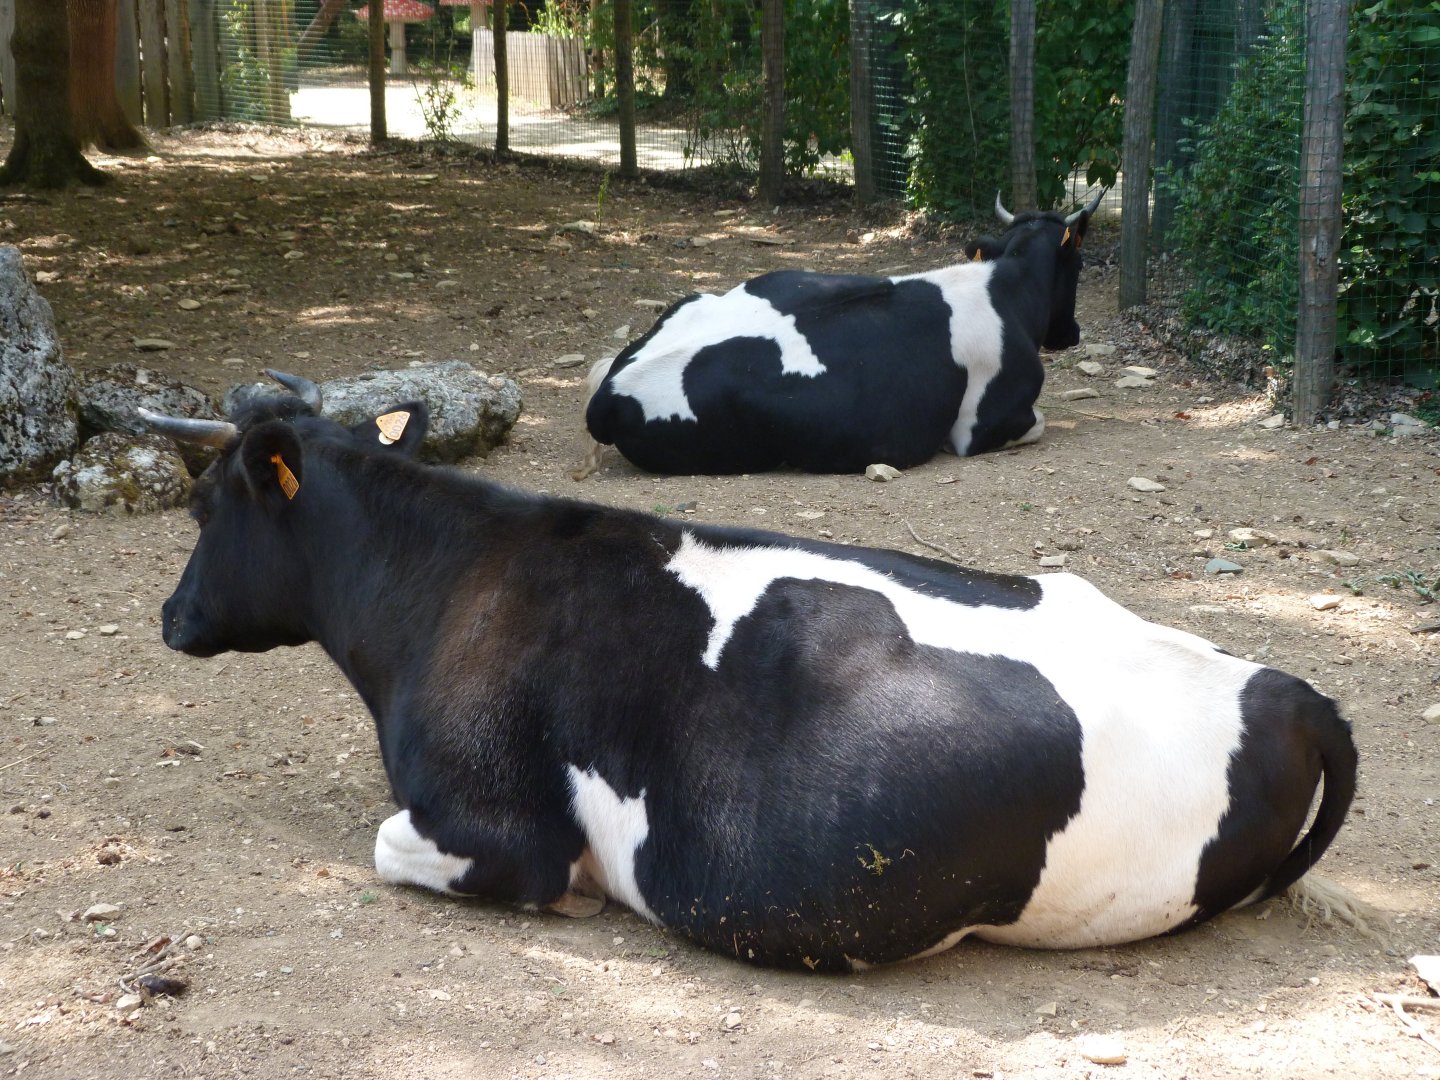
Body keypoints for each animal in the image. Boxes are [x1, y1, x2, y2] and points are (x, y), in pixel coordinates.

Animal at [142, 373, 1356, 973]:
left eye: (203, 508)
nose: (170, 616)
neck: (445, 582)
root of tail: (1291, 691)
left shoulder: (501, 832)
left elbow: (394, 844)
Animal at [575, 190, 1104, 479]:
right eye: (1079, 263)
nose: (1073, 332)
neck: (1008, 290)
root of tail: (609, 389)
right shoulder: (982, 427)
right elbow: (1038, 423)